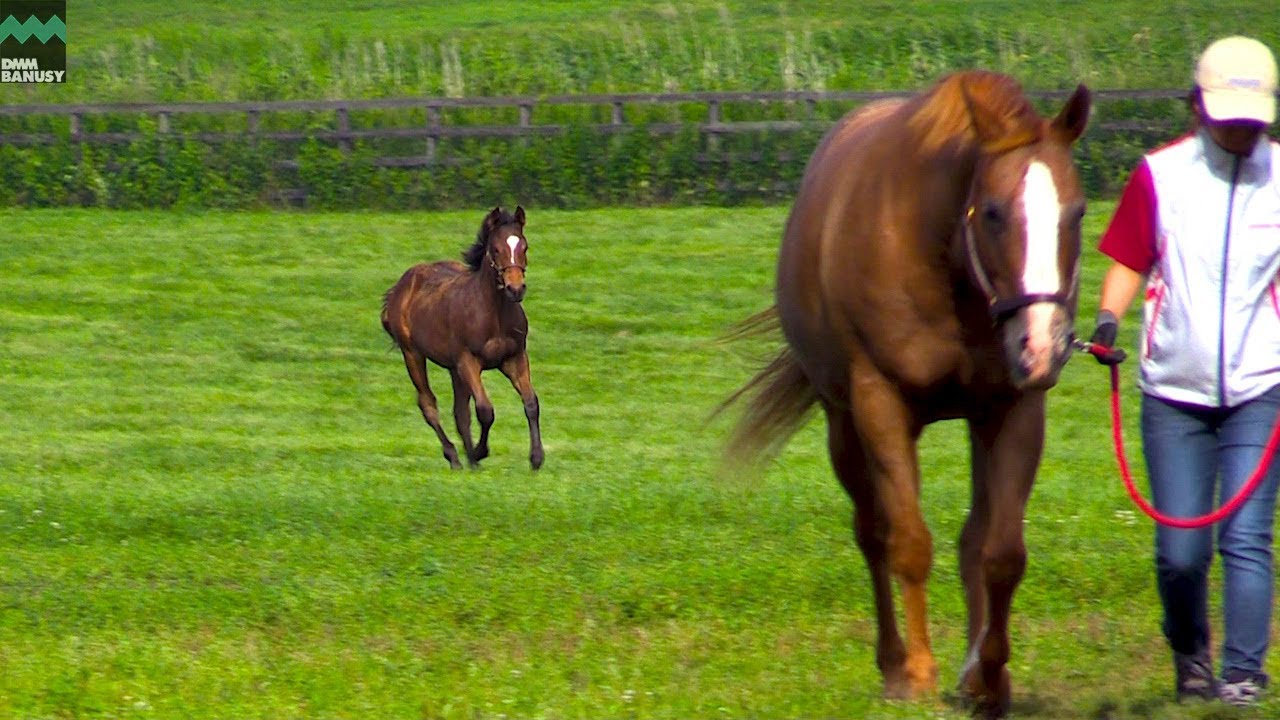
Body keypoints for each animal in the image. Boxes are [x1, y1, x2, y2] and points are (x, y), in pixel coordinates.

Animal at [381, 206, 544, 471]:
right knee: (428, 404)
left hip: (453, 369)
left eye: (524, 247)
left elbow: (531, 404)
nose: (515, 289)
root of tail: (399, 288)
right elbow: (485, 410)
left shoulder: (515, 357)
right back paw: (456, 457)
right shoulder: (468, 361)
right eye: (495, 249)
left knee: (459, 412)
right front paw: (479, 452)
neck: (493, 313)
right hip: (413, 354)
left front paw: (536, 458)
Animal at [722, 72, 1091, 717]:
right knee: (872, 534)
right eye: (993, 212)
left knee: (972, 539)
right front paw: (917, 673)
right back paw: (893, 663)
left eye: (1078, 212)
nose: (1043, 345)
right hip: (843, 425)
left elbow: (1000, 552)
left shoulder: (1013, 409)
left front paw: (987, 678)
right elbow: (908, 542)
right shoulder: (881, 405)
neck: (942, 264)